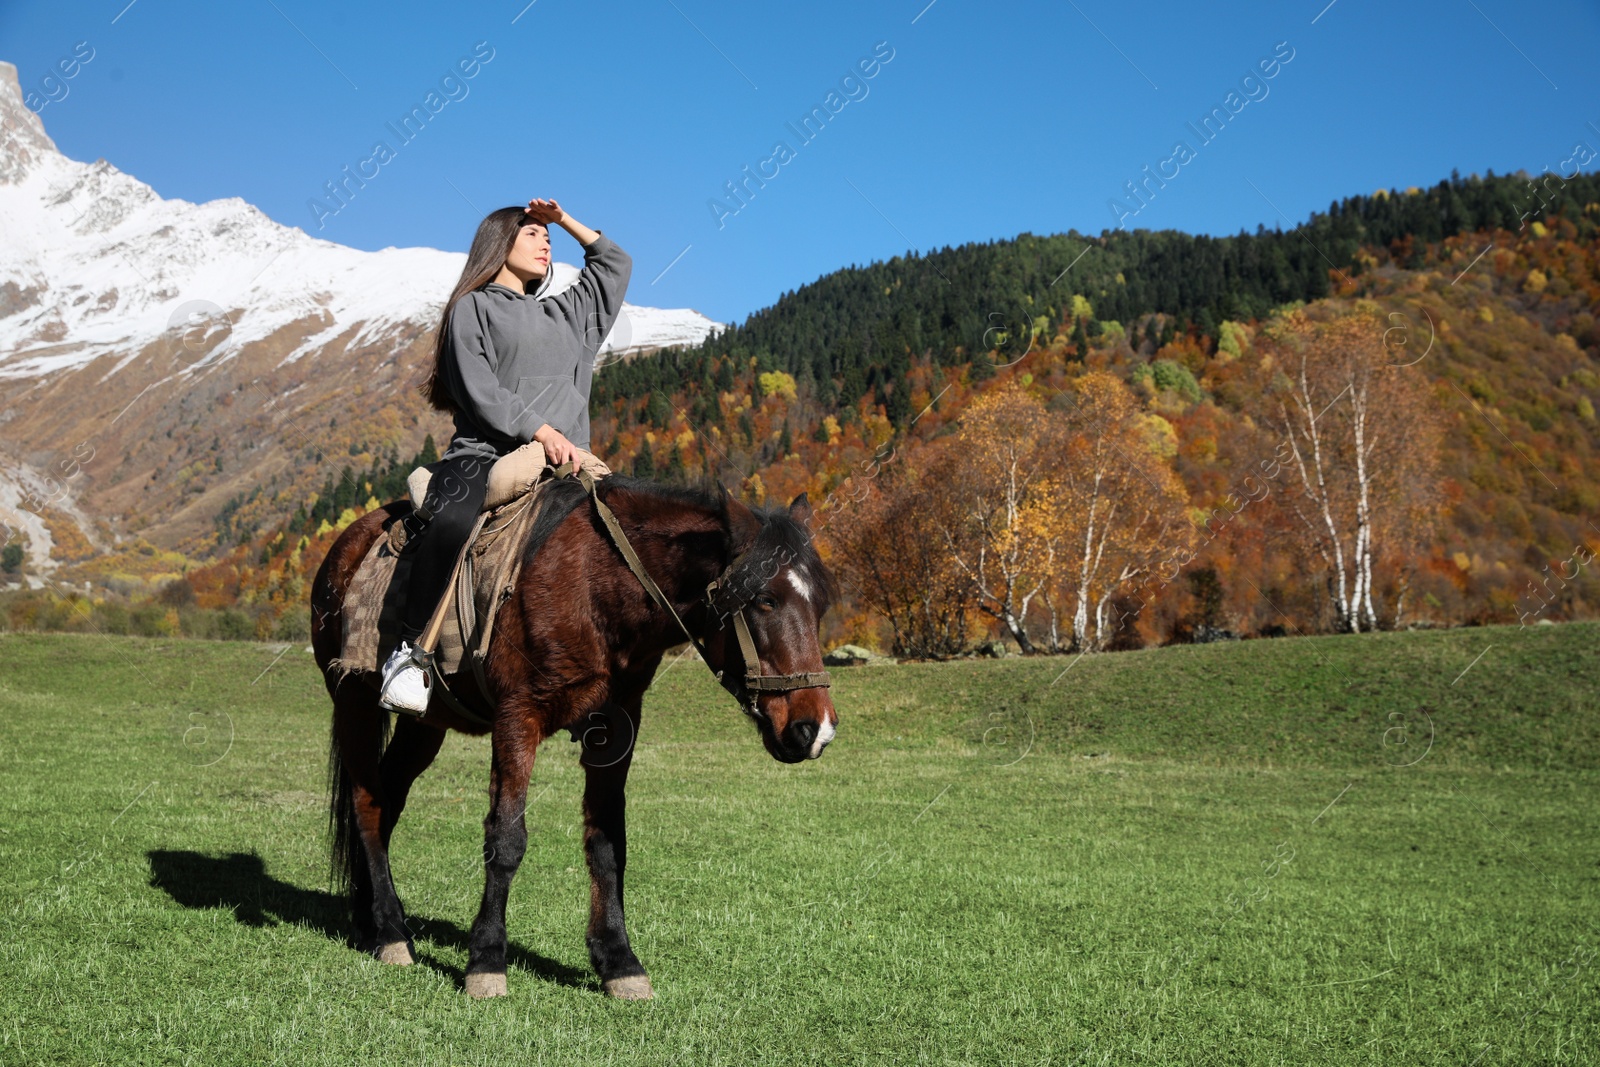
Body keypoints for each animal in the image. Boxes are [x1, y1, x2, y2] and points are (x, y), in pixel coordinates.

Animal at [307, 476, 844, 1004]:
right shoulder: (517, 717)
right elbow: (506, 840)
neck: (595, 586)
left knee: (388, 800)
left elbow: (607, 843)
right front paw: (486, 961)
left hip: (424, 725)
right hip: (353, 702)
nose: (814, 729)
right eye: (765, 600)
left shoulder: (616, 728)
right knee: (368, 805)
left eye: (819, 604)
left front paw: (620, 962)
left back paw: (373, 919)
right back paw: (392, 933)